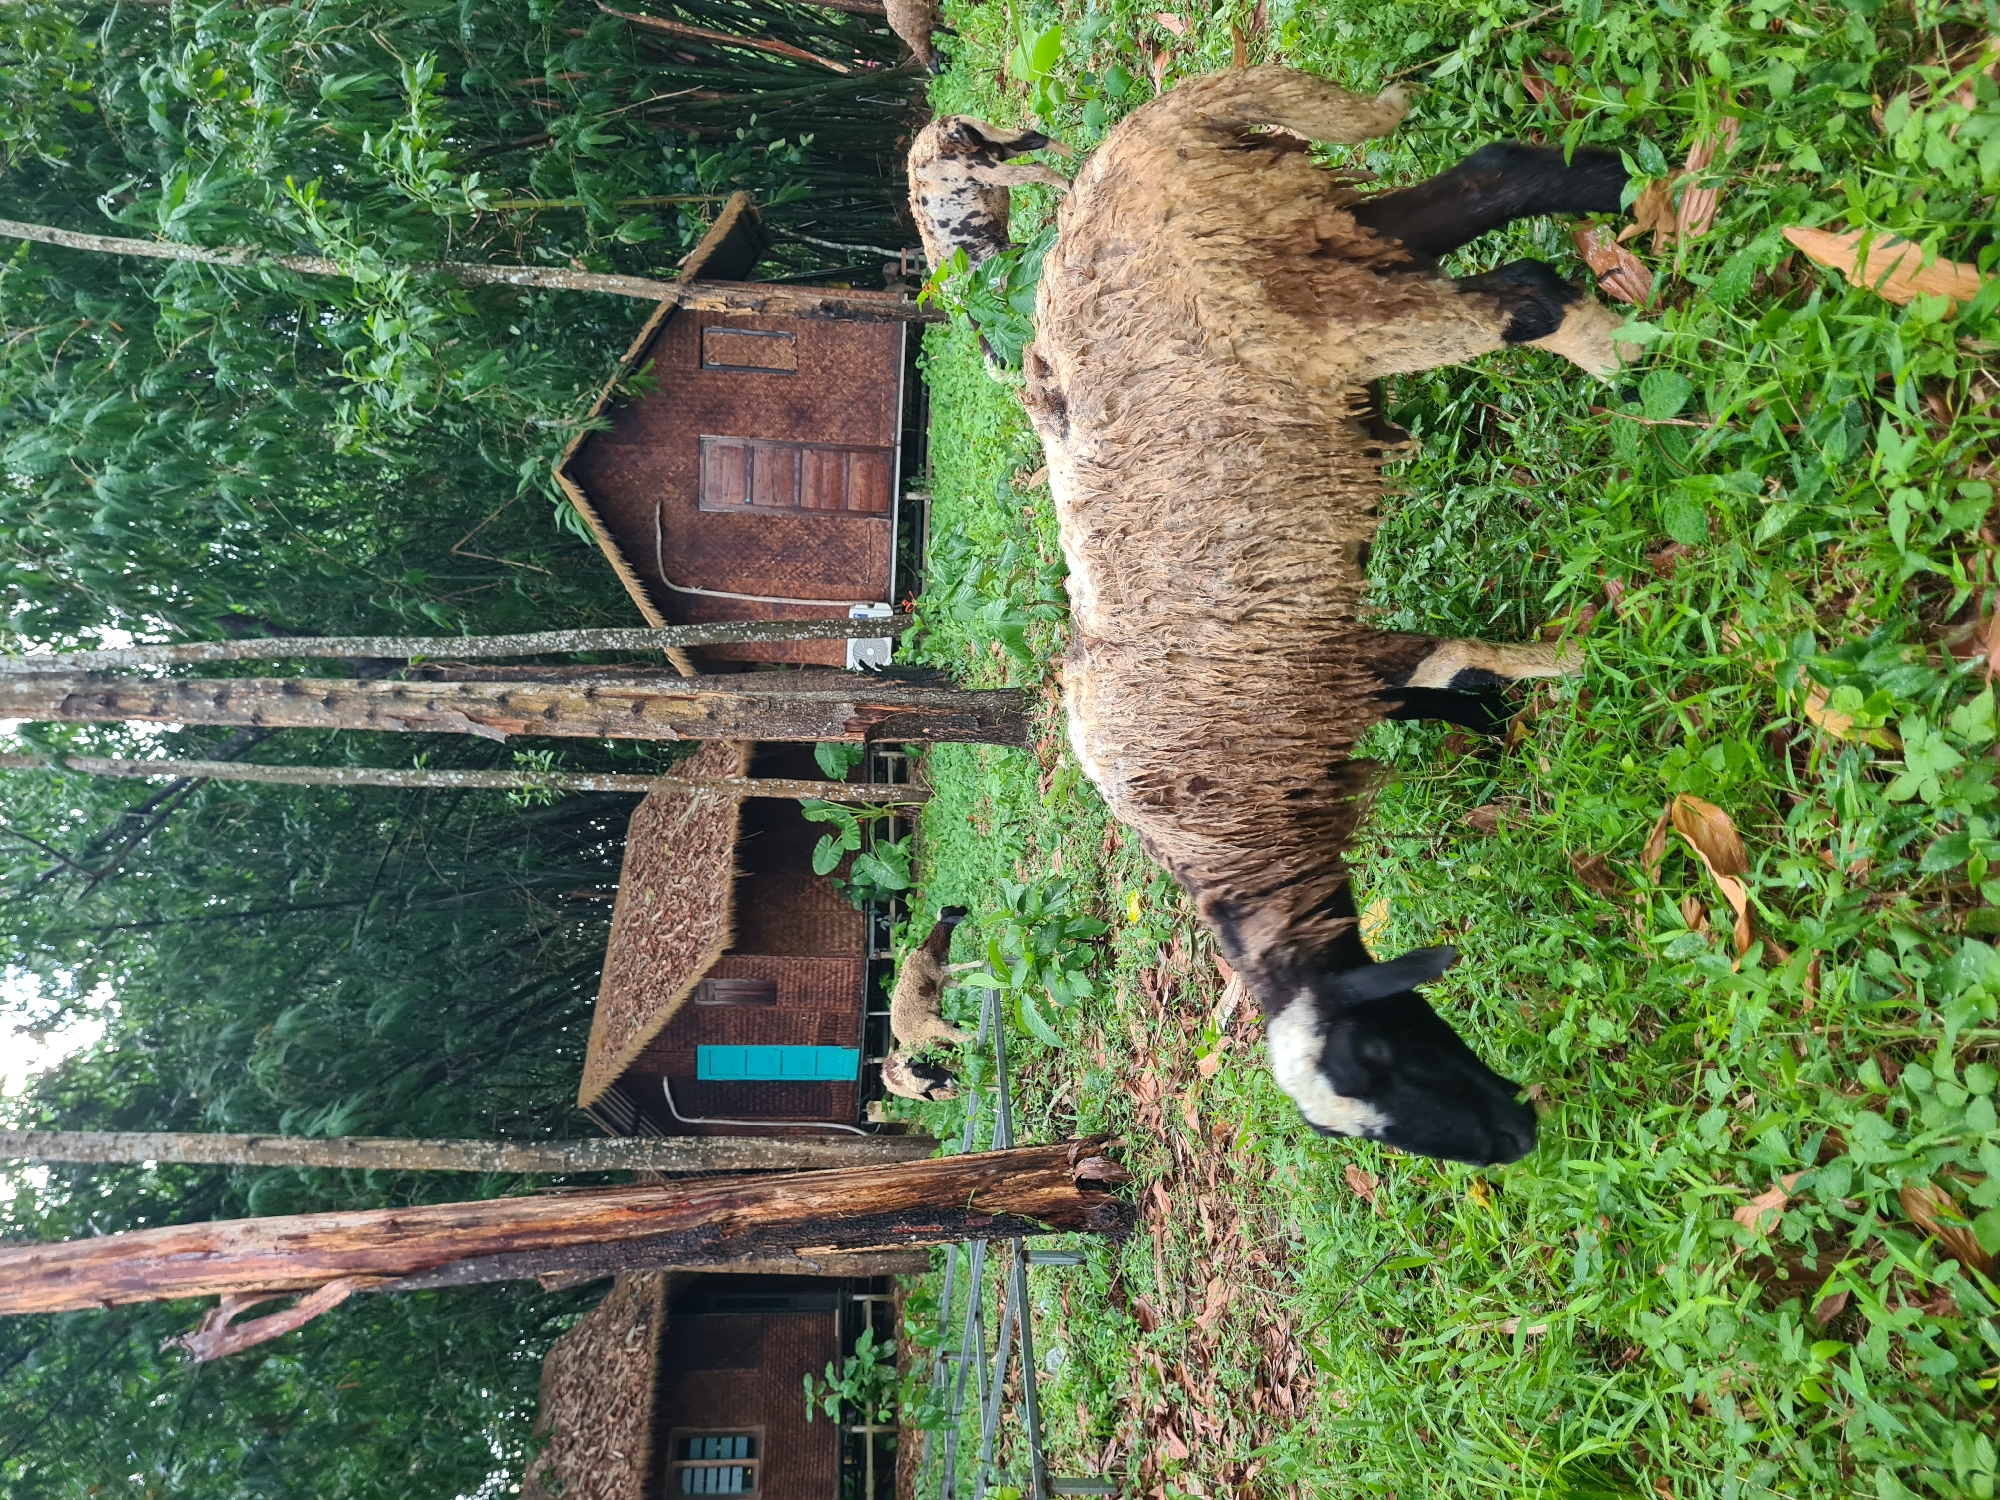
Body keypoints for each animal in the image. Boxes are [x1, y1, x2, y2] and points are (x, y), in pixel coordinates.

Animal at [1019, 66, 1637, 1167]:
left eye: (1381, 1054)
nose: (1514, 1140)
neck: (1224, 819)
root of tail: (1147, 134)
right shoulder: (1329, 675)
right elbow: (1439, 681)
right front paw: (1498, 721)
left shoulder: (1315, 671)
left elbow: (1450, 659)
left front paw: (1576, 665)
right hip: (1311, 228)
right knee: (1493, 182)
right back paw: (1621, 182)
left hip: (1314, 306)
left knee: (1518, 299)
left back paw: (1631, 357)